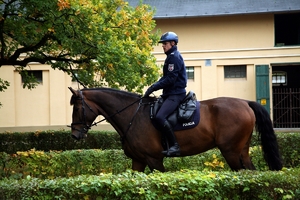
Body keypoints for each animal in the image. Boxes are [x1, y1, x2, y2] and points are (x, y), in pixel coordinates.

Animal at [69, 87, 282, 172]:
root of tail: (245, 103)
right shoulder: (138, 161)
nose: (75, 135)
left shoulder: (154, 160)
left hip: (230, 152)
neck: (132, 115)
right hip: (241, 152)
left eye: (77, 108)